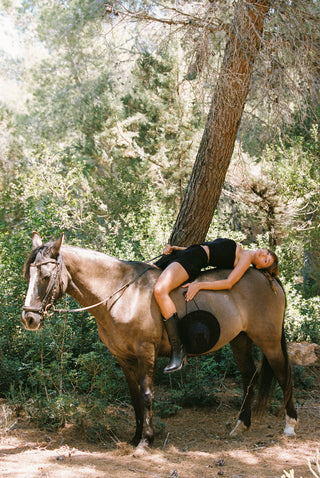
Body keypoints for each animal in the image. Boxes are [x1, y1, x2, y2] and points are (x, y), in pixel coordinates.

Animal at [21, 232, 298, 448]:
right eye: (28, 276)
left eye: (46, 277)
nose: (29, 319)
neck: (121, 292)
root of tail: (269, 278)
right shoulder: (124, 358)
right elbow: (134, 397)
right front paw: (135, 437)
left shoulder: (145, 352)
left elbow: (146, 394)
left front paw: (146, 440)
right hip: (240, 339)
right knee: (249, 376)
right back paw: (241, 425)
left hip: (268, 339)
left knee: (284, 373)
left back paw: (290, 425)